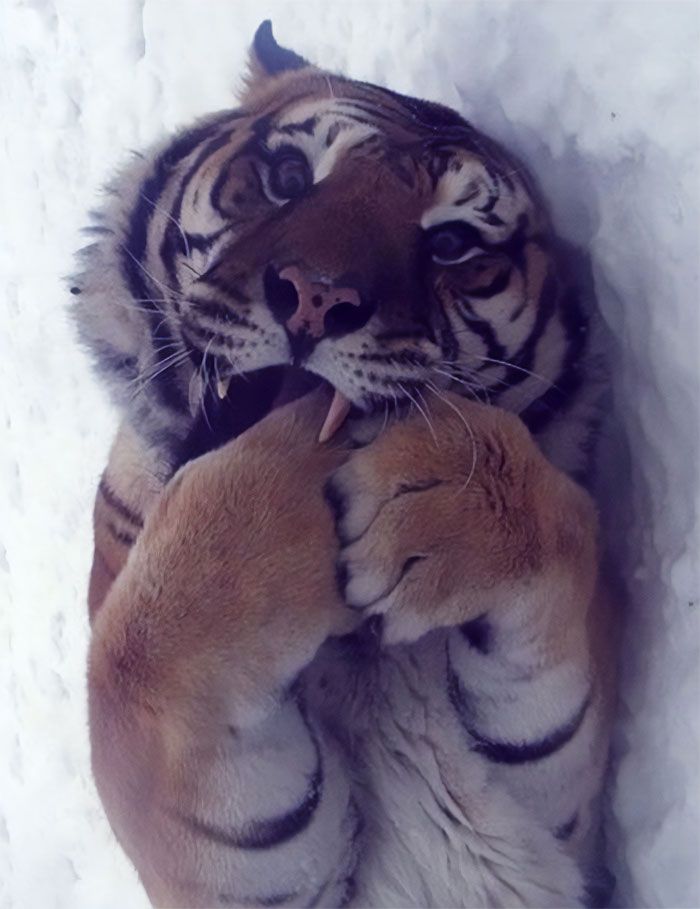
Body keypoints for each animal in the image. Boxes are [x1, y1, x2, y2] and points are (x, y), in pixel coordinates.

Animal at [72, 21, 616, 908]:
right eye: (290, 176)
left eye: (452, 242)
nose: (318, 298)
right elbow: (135, 655)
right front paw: (270, 510)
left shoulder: (552, 809)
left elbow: (570, 525)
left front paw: (442, 491)